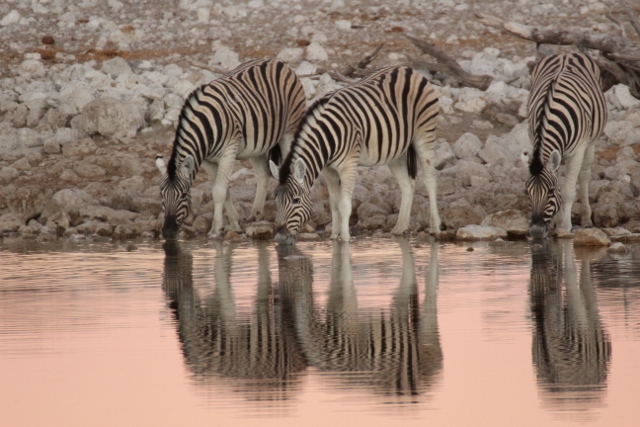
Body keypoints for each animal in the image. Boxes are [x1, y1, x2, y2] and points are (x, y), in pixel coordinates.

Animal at [155, 59, 304, 241]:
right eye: (161, 195)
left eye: (183, 195)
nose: (168, 233)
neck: (205, 127)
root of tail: (276, 61)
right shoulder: (207, 161)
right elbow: (224, 191)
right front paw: (234, 224)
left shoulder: (228, 152)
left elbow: (218, 191)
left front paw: (215, 229)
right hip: (257, 145)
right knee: (263, 174)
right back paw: (255, 214)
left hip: (289, 130)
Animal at [268, 65, 440, 242]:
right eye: (276, 199)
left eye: (295, 201)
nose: (279, 237)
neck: (326, 140)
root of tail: (407, 69)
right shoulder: (328, 170)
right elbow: (334, 203)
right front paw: (334, 236)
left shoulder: (348, 166)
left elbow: (344, 205)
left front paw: (344, 239)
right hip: (395, 150)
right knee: (407, 185)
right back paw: (400, 227)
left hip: (424, 133)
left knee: (430, 179)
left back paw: (435, 227)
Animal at [520, 52, 604, 239]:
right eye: (527, 192)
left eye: (550, 191)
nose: (536, 232)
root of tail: (566, 53)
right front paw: (557, 222)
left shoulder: (579, 149)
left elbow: (567, 191)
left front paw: (565, 227)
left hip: (591, 143)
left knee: (584, 176)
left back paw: (586, 219)